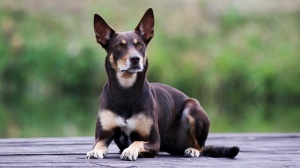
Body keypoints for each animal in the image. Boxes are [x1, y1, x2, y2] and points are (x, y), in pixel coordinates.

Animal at [86, 8, 239, 161]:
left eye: (140, 45)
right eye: (119, 46)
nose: (135, 59)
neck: (126, 91)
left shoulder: (154, 142)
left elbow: (136, 142)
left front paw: (129, 151)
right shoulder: (103, 135)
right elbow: (98, 144)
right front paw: (95, 151)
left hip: (192, 107)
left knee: (200, 146)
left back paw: (193, 149)